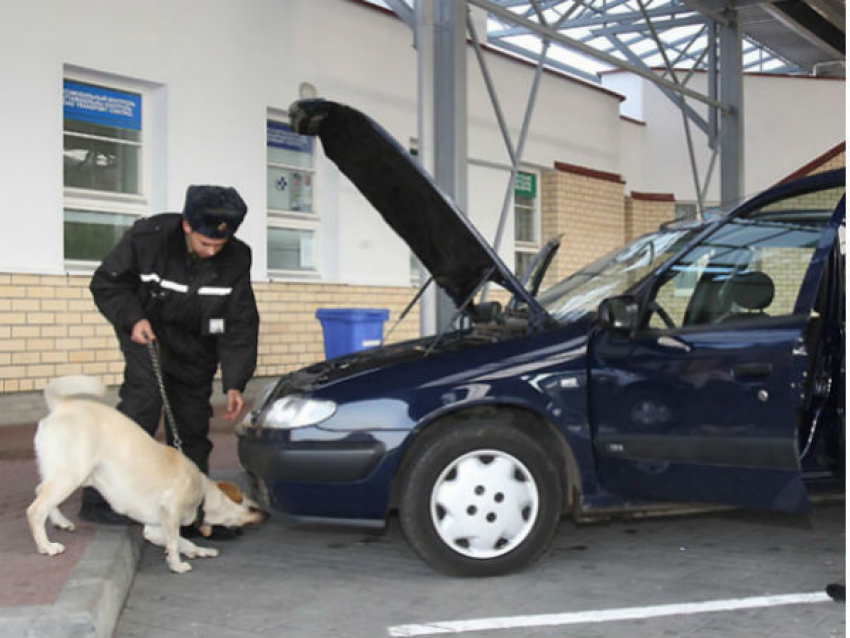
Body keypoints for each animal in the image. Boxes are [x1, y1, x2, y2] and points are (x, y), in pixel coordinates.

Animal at [26, 376, 264, 576]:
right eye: (252, 507)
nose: (267, 515)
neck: (202, 492)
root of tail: (60, 405)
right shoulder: (170, 511)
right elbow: (175, 541)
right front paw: (177, 564)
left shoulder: (153, 528)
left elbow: (181, 541)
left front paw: (199, 551)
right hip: (72, 474)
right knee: (35, 509)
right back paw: (46, 546)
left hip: (65, 474)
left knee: (41, 492)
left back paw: (61, 522)